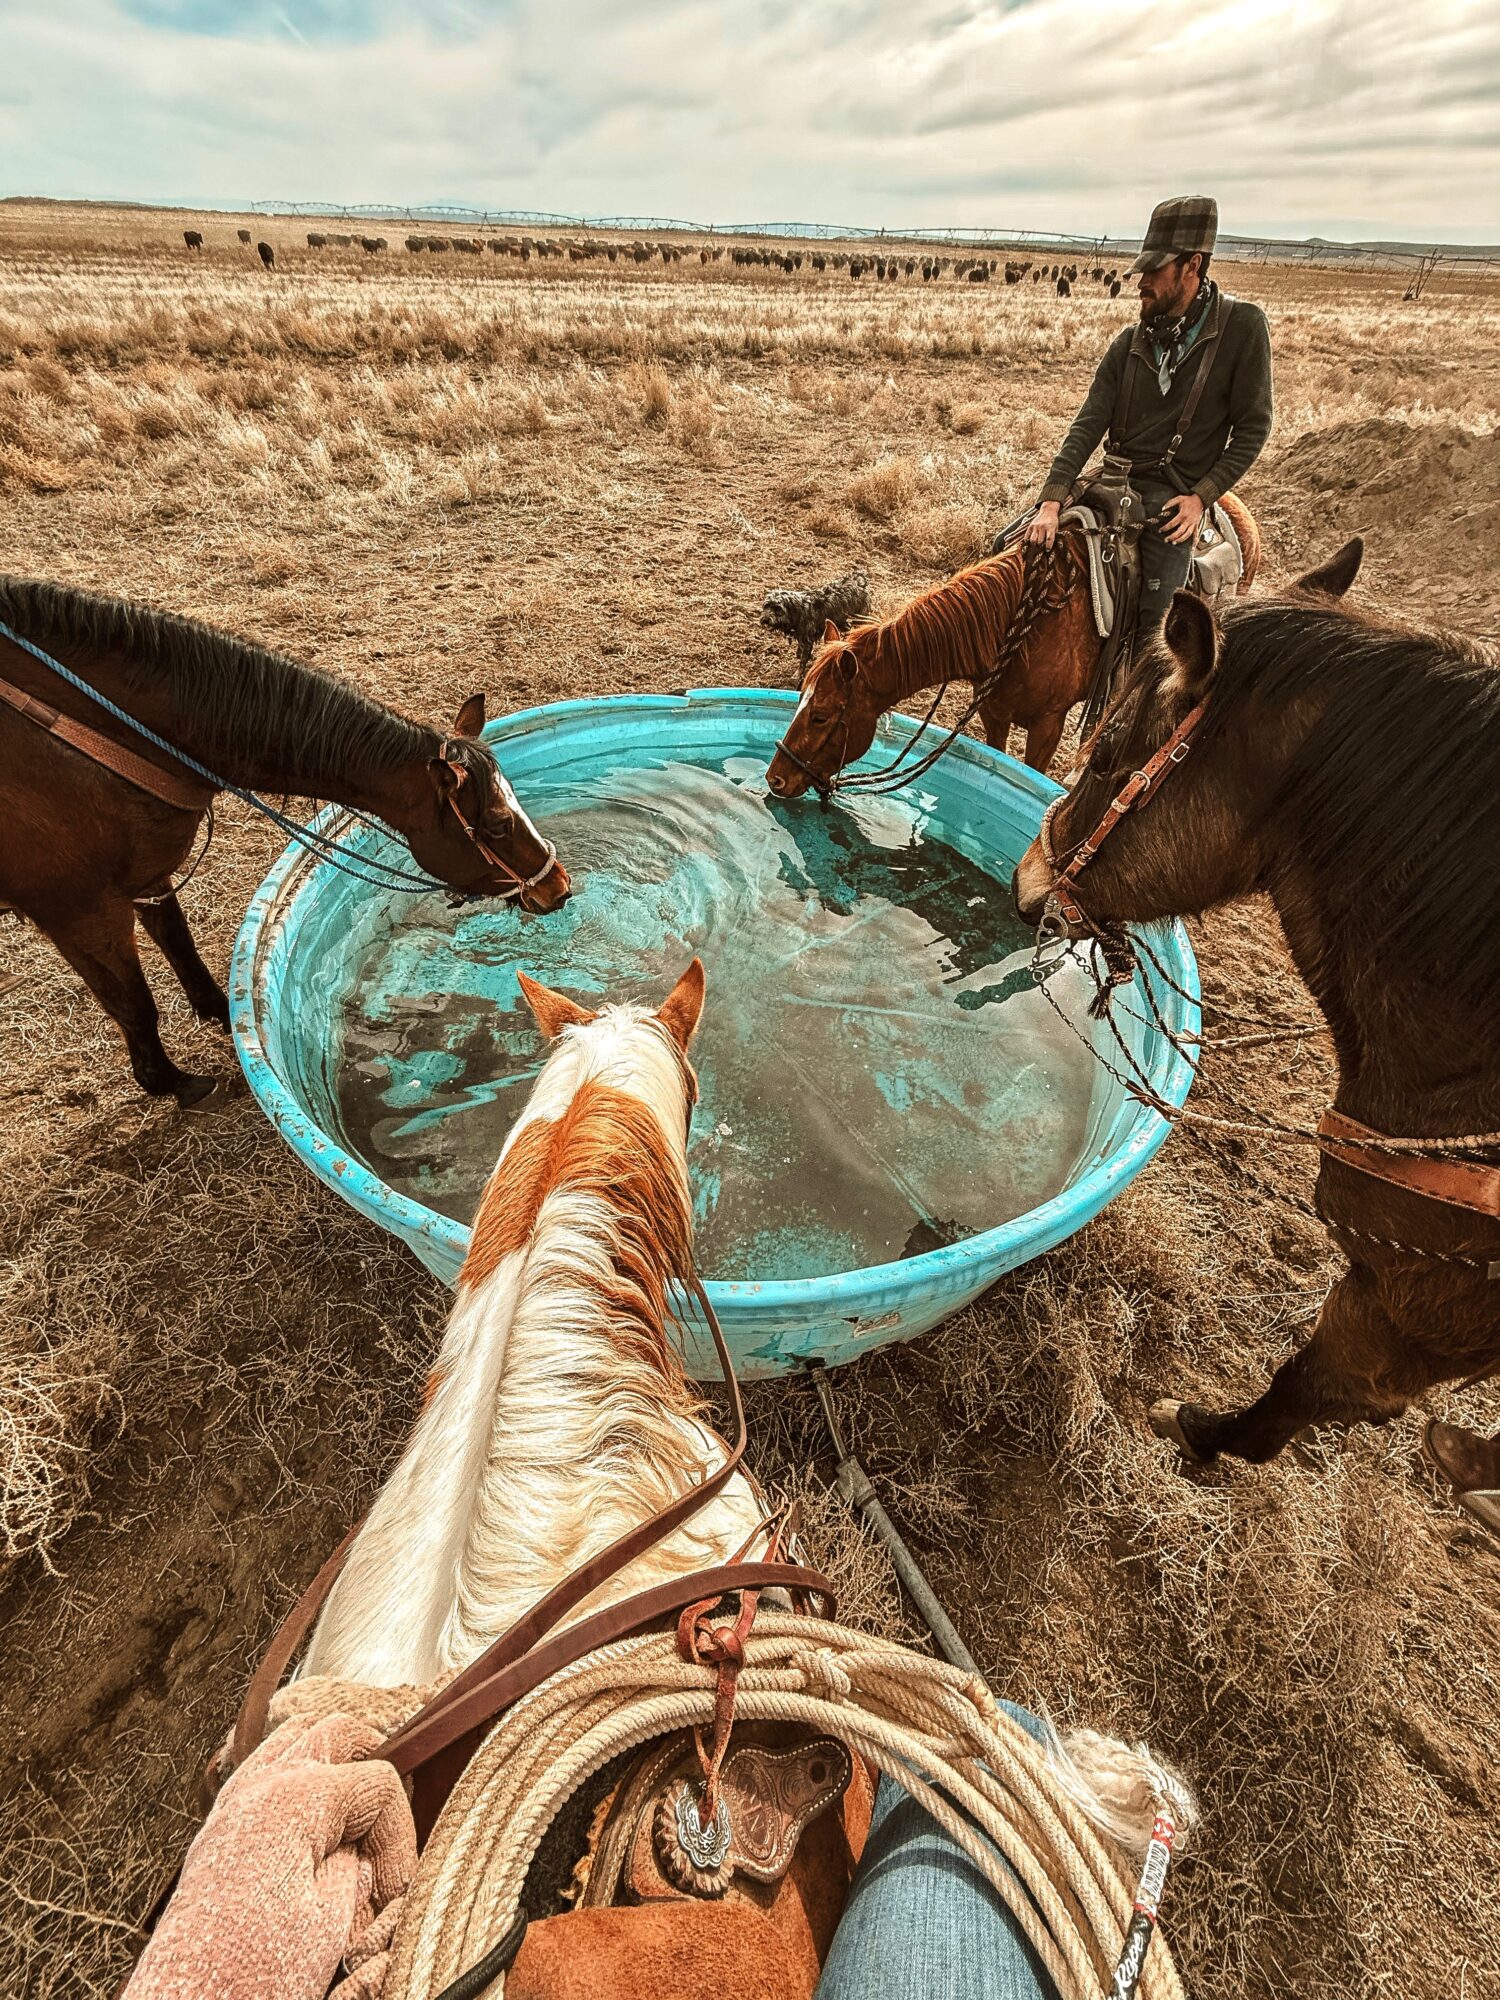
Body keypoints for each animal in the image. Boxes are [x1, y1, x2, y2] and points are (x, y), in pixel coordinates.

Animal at [0, 576, 570, 1107]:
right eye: (496, 824)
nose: (559, 886)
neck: (109, 731)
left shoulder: (147, 873)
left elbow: (178, 941)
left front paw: (219, 1012)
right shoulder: (81, 910)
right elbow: (134, 1003)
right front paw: (173, 1083)